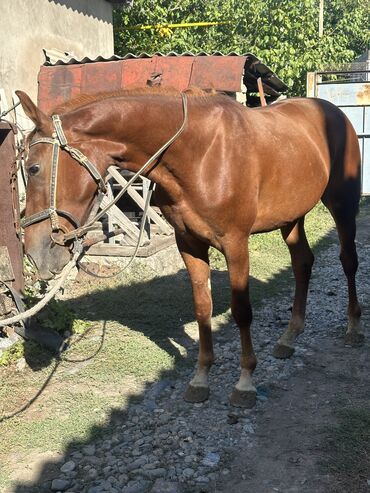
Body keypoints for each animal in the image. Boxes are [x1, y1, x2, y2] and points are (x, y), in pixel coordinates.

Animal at [15, 88, 362, 408]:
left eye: (33, 168)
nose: (35, 252)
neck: (200, 154)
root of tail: (334, 112)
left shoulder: (235, 243)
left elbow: (242, 311)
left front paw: (245, 382)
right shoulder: (189, 243)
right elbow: (202, 308)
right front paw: (200, 378)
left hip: (342, 205)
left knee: (348, 260)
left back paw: (352, 326)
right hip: (291, 218)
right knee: (302, 263)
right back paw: (289, 338)